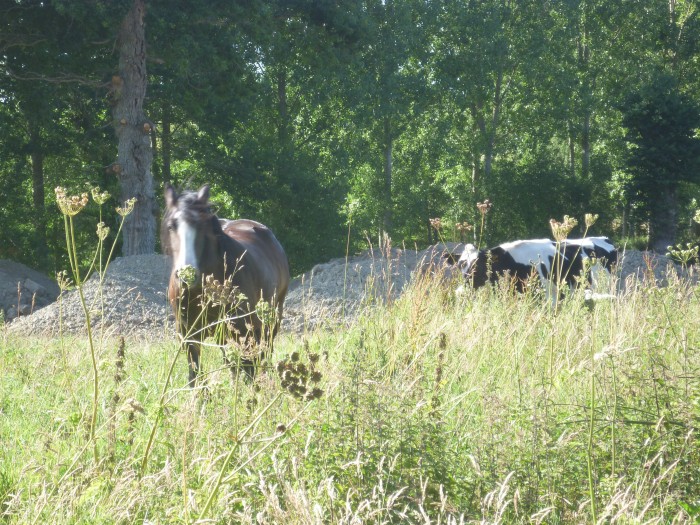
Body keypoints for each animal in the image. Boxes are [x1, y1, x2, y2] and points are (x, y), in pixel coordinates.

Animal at [162, 184, 290, 384]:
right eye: (171, 226)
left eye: (202, 226)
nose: (186, 275)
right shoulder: (188, 336)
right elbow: (195, 375)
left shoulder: (242, 332)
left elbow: (247, 370)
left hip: (271, 320)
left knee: (263, 354)